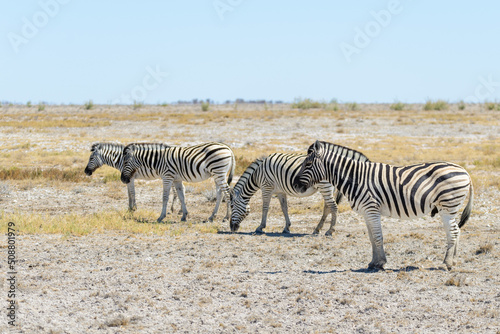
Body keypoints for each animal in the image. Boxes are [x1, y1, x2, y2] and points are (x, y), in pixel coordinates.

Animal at [294, 140, 474, 270]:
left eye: (308, 164)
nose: (295, 185)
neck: (356, 178)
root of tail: (465, 171)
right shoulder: (366, 212)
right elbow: (372, 238)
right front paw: (373, 262)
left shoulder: (372, 210)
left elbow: (378, 237)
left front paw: (380, 263)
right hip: (449, 208)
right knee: (456, 230)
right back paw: (452, 260)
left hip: (447, 207)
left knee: (453, 232)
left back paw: (447, 263)